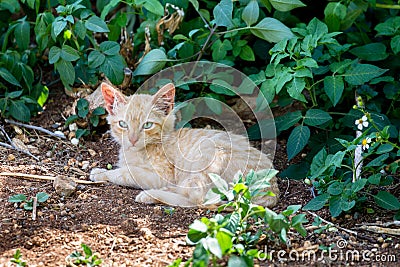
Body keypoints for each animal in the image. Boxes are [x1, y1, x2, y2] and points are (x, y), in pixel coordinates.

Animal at [90, 82, 278, 208]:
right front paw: (101, 170)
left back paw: (150, 195)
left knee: (199, 200)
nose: (133, 139)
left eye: (147, 125)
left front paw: (102, 174)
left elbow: (126, 173)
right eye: (123, 124)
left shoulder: (159, 175)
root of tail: (272, 189)